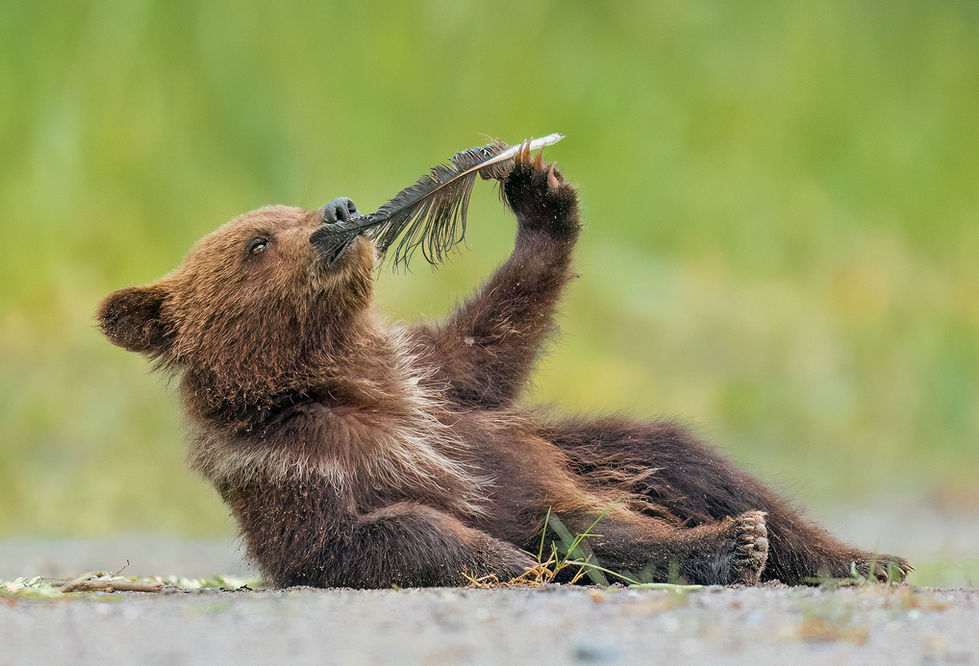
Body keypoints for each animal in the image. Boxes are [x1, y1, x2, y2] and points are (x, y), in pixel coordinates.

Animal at [97, 144, 910, 588]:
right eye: (258, 241)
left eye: (290, 211)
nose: (340, 210)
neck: (333, 378)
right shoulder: (294, 465)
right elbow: (371, 535)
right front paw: (505, 561)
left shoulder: (429, 380)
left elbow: (494, 337)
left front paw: (538, 192)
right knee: (587, 527)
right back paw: (728, 547)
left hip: (591, 448)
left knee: (688, 460)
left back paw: (853, 557)